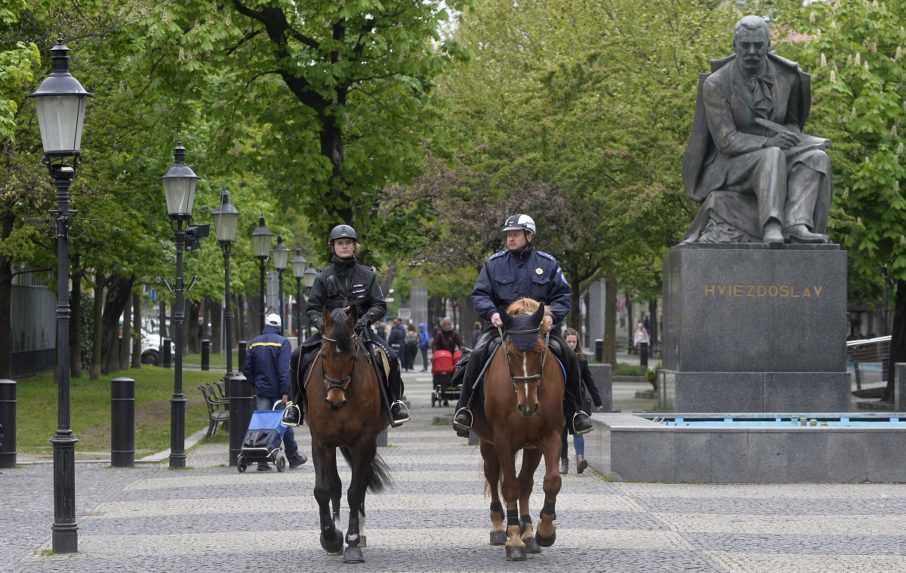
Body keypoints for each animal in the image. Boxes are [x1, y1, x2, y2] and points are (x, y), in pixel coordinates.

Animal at [302, 308, 390, 564]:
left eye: (352, 357)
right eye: (323, 355)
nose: (335, 399)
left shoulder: (364, 442)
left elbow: (355, 491)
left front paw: (351, 542)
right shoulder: (321, 441)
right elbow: (324, 490)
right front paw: (331, 538)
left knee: (360, 483)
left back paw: (359, 534)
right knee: (336, 485)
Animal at [470, 298, 560, 560]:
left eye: (539, 351)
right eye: (509, 353)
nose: (527, 406)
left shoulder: (550, 436)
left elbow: (551, 481)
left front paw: (544, 532)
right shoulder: (503, 439)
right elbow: (509, 486)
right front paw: (514, 540)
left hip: (530, 447)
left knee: (525, 484)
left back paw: (528, 533)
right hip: (488, 444)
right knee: (494, 477)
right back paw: (500, 528)